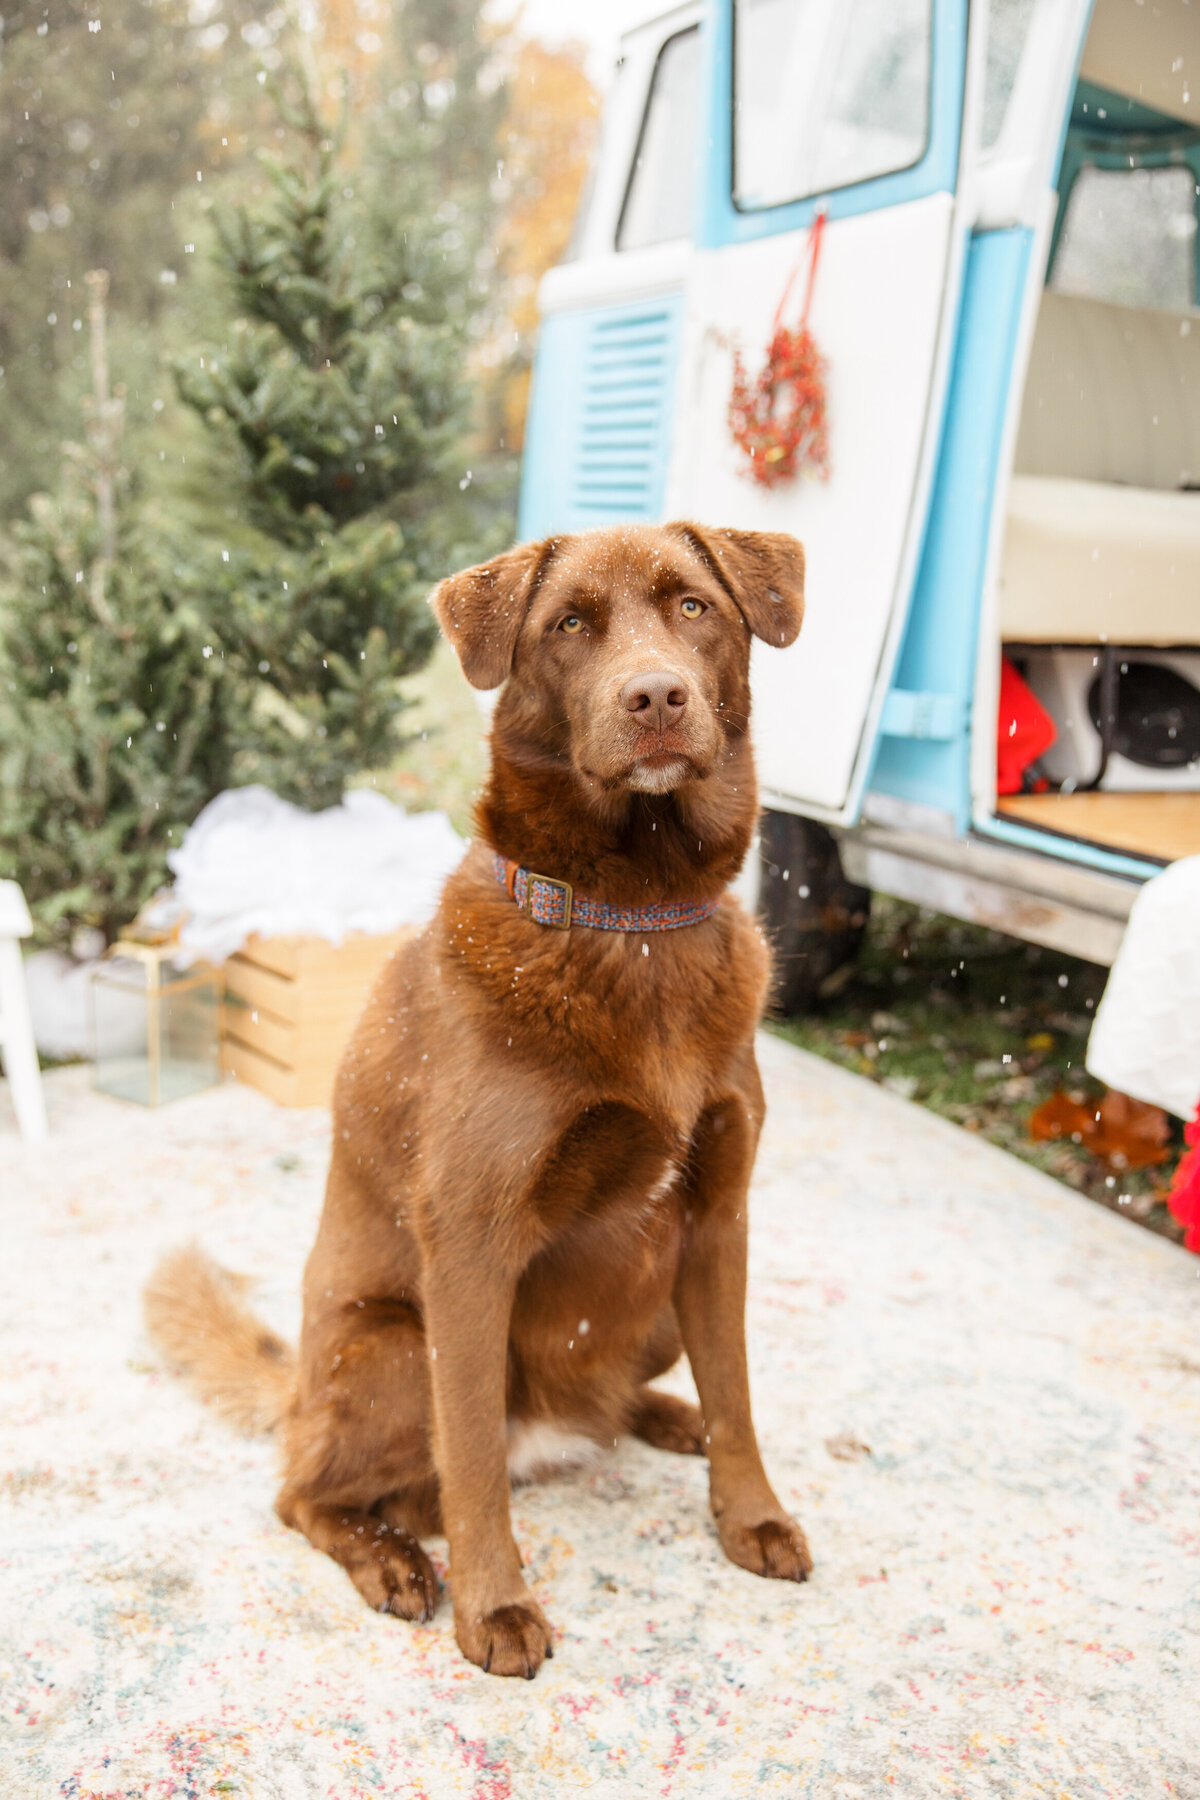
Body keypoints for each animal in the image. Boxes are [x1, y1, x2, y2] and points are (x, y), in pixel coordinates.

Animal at [143, 518, 816, 1670]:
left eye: (693, 608)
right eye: (569, 626)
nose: (655, 697)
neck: (632, 921)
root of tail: (296, 1393)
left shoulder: (721, 1215)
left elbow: (738, 1391)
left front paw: (752, 1517)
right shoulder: (468, 1241)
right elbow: (472, 1463)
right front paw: (495, 1608)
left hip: (654, 1304)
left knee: (623, 1396)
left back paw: (659, 1416)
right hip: (391, 1351)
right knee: (308, 1493)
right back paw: (393, 1561)